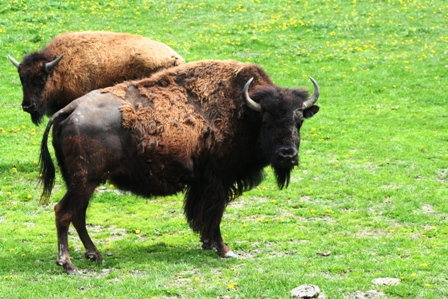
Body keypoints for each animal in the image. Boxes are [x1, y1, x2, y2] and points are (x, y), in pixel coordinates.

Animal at [38, 59, 318, 276]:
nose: (287, 155)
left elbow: (203, 215)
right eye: (267, 122)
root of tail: (71, 108)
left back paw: (94, 255)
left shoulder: (203, 183)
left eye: (299, 121)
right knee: (64, 211)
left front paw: (208, 244)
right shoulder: (218, 180)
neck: (246, 112)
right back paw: (69, 264)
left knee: (78, 214)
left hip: (82, 182)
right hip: (85, 181)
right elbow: (214, 214)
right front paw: (224, 250)